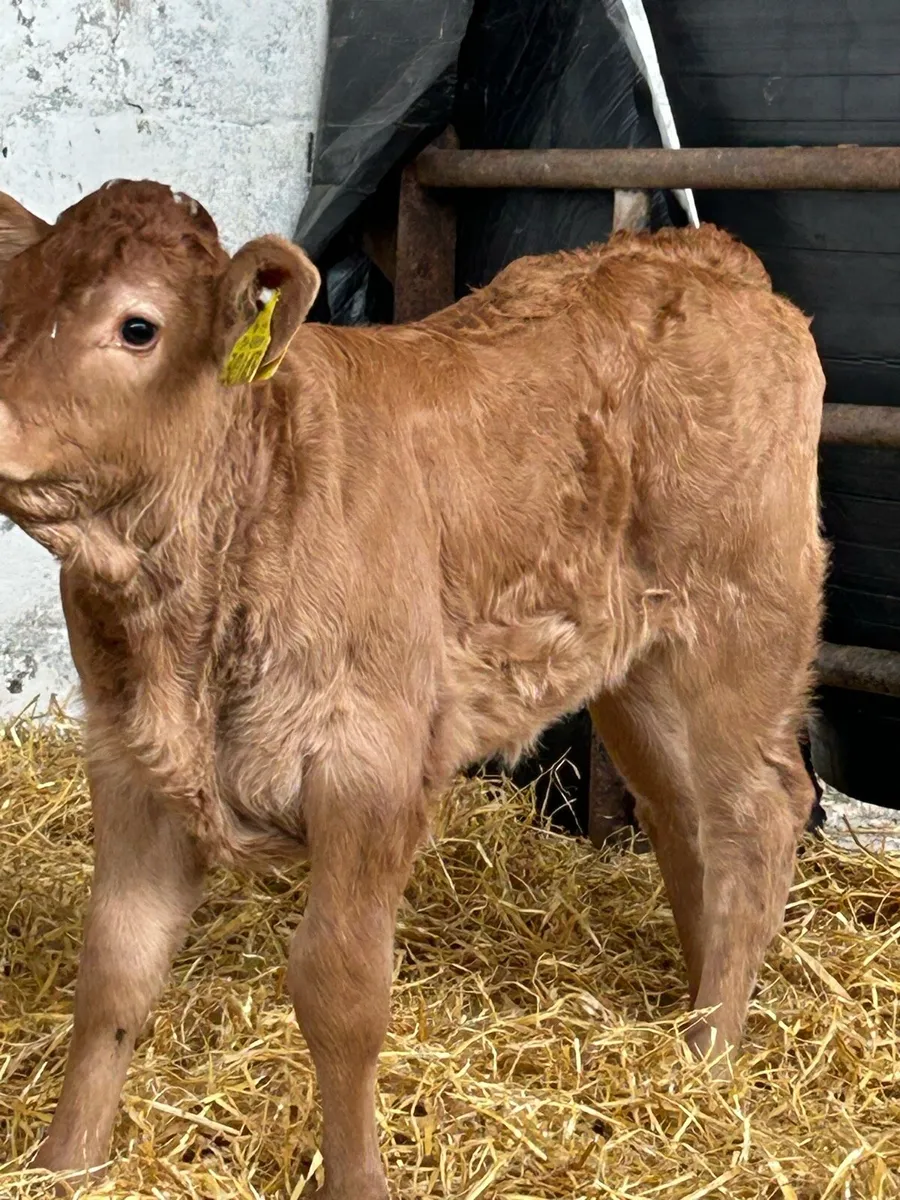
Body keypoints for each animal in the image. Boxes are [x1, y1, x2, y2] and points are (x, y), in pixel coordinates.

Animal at [0, 180, 826, 1198]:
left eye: (138, 326)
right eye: (6, 298)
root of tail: (698, 253)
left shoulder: (370, 767)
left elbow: (340, 990)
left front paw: (357, 1179)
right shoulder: (131, 761)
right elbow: (113, 969)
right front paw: (65, 1164)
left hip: (744, 623)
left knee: (760, 810)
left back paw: (711, 1050)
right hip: (640, 664)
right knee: (684, 811)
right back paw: (698, 998)